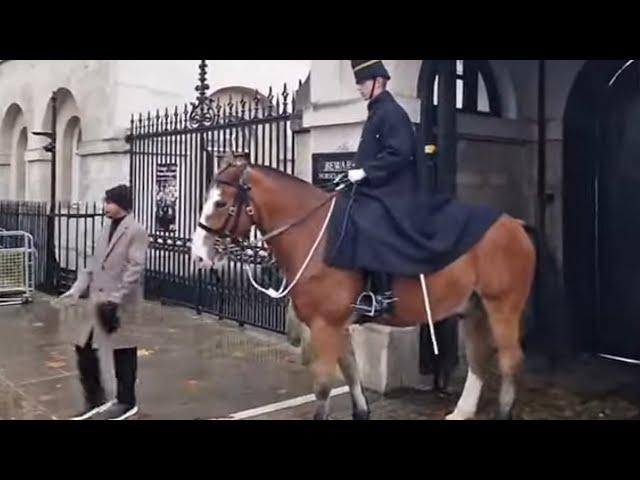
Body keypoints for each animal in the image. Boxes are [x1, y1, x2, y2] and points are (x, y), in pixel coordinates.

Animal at [192, 154, 568, 420]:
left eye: (221, 203)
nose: (198, 255)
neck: (317, 235)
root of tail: (514, 223)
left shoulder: (325, 326)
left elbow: (324, 387)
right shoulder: (337, 325)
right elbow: (351, 371)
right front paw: (362, 411)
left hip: (502, 305)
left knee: (509, 360)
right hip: (473, 309)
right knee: (479, 360)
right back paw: (461, 412)